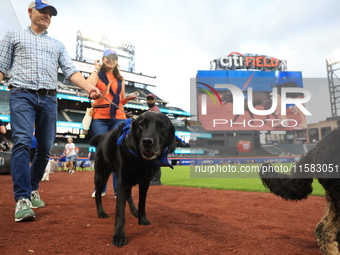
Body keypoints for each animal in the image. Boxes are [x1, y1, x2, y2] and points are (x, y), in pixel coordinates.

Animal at [89, 111, 177, 247]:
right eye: (142, 125)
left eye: (162, 127)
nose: (147, 141)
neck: (141, 161)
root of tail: (103, 136)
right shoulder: (122, 182)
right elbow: (120, 212)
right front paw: (119, 236)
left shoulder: (145, 183)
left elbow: (142, 202)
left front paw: (142, 218)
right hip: (101, 176)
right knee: (98, 194)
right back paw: (101, 212)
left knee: (129, 194)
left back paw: (134, 210)